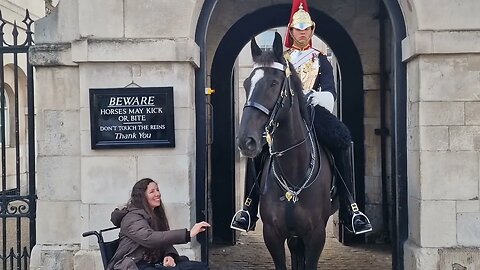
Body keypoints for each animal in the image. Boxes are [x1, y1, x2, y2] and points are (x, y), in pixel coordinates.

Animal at [237, 32, 336, 270]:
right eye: (246, 84)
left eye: (273, 83)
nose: (246, 141)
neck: (293, 170)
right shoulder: (272, 234)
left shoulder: (316, 236)